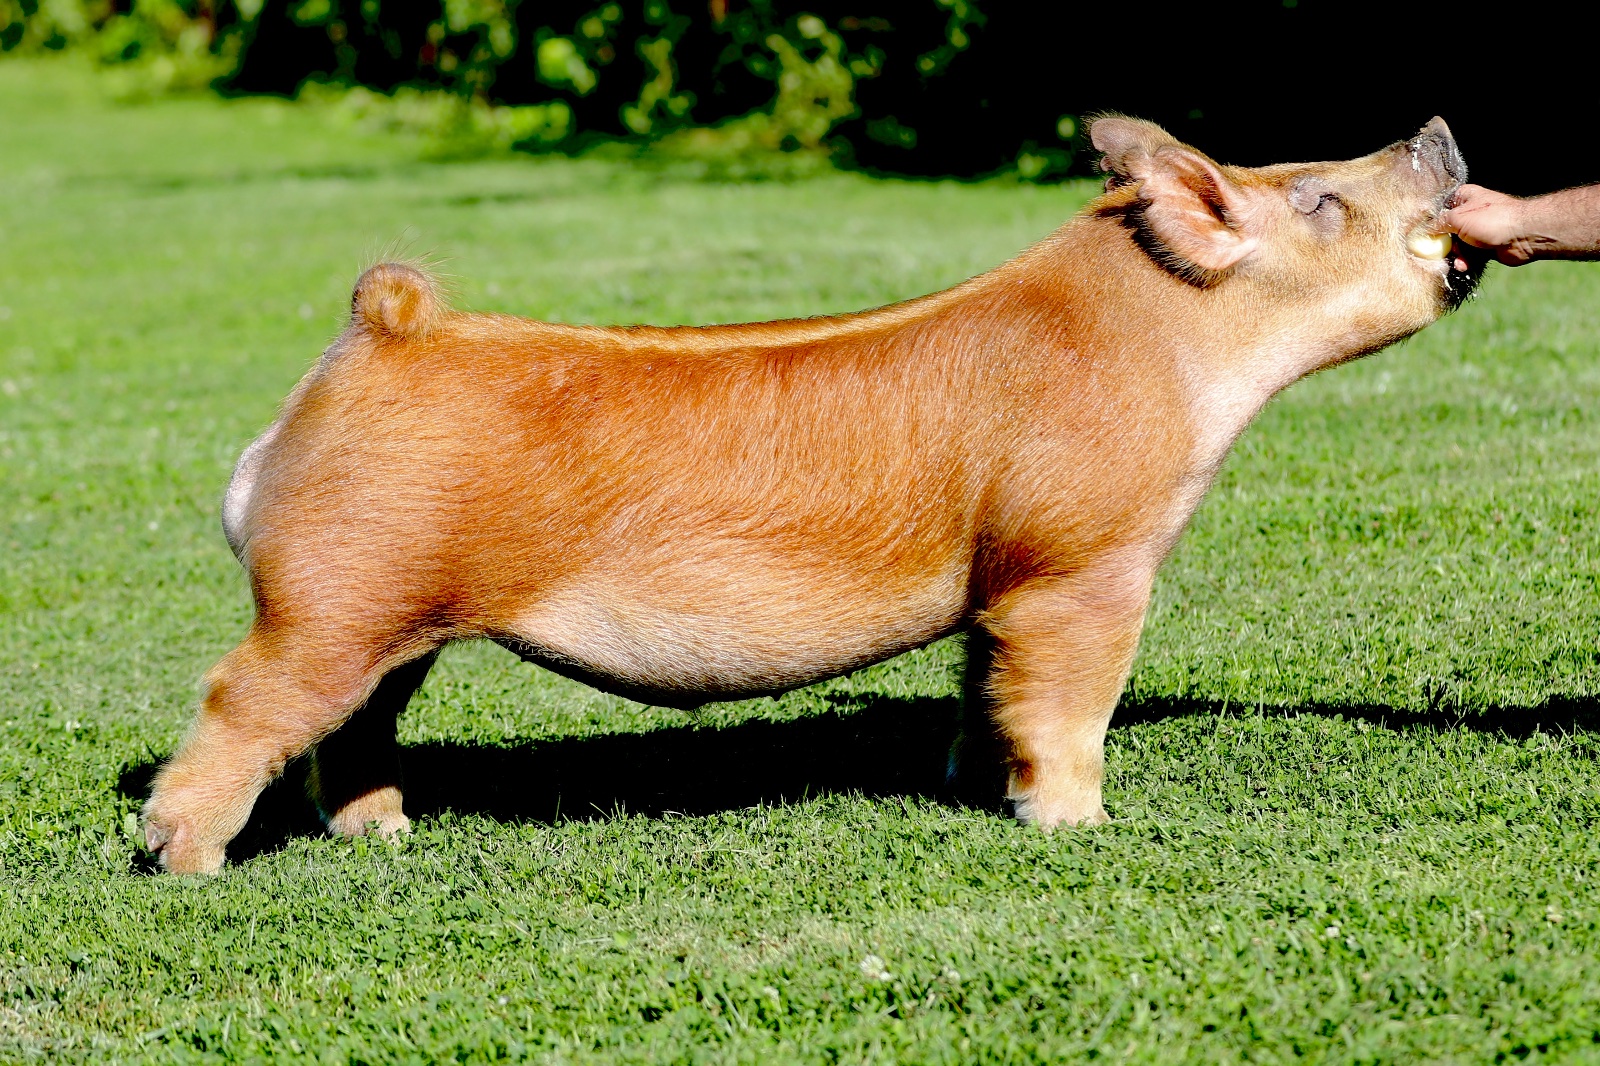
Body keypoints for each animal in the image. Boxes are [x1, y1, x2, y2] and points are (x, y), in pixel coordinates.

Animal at [143, 117, 1480, 873]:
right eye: (1316, 199)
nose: (1434, 126)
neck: (1166, 341)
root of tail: (382, 330)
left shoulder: (997, 586)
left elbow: (982, 686)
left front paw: (970, 785)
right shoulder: (1078, 564)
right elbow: (1067, 704)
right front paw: (1076, 827)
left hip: (393, 618)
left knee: (355, 724)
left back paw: (385, 833)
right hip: (327, 600)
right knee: (240, 701)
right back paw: (184, 860)